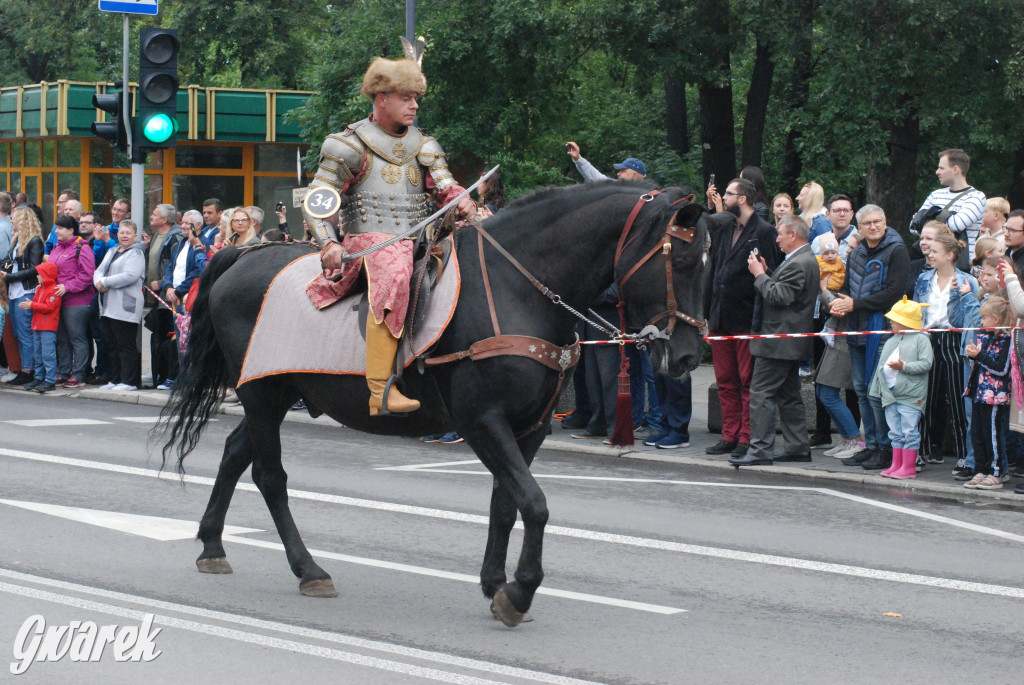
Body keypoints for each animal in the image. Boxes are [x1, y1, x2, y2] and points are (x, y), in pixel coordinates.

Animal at [163, 180, 708, 626]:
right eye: (679, 262)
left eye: (703, 262)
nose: (686, 355)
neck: (516, 288)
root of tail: (246, 256)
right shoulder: (482, 420)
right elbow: (533, 503)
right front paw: (521, 591)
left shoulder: (529, 427)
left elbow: (507, 503)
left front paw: (495, 583)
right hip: (263, 395)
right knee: (268, 474)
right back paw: (308, 568)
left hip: (276, 395)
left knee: (236, 452)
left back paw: (212, 544)